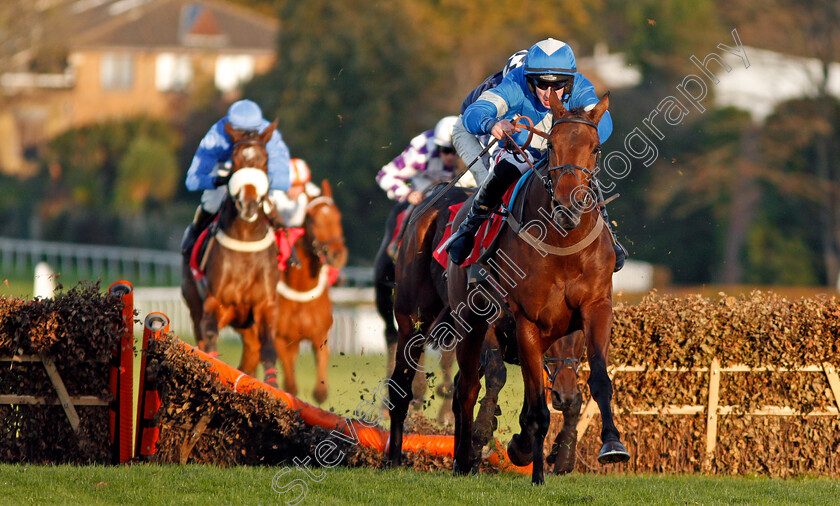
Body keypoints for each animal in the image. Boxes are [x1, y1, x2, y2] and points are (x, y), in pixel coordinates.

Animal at [182, 120, 280, 378]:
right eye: (235, 161)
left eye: (265, 160)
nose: (249, 205)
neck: (245, 241)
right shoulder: (214, 304)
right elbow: (210, 341)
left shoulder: (265, 306)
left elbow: (269, 348)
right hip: (196, 304)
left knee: (252, 351)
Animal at [266, 182, 352, 404]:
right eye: (313, 219)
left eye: (338, 216)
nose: (337, 254)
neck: (302, 290)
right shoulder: (279, 338)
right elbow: (291, 386)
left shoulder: (320, 336)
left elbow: (320, 392)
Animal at [446, 92, 624, 486]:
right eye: (553, 146)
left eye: (595, 148)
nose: (569, 207)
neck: (565, 246)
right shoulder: (526, 319)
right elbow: (537, 407)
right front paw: (536, 471)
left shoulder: (594, 309)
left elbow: (597, 382)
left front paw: (611, 444)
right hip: (472, 321)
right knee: (467, 387)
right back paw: (463, 459)